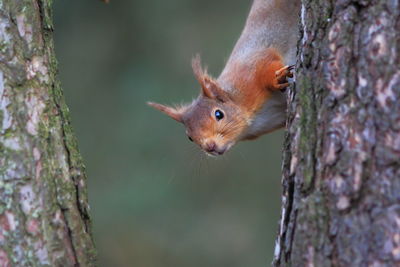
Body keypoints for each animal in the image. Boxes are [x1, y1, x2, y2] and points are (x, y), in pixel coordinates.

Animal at [148, 0, 298, 157]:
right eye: (189, 137)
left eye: (218, 114)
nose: (210, 147)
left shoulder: (251, 69)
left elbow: (268, 66)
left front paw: (277, 78)